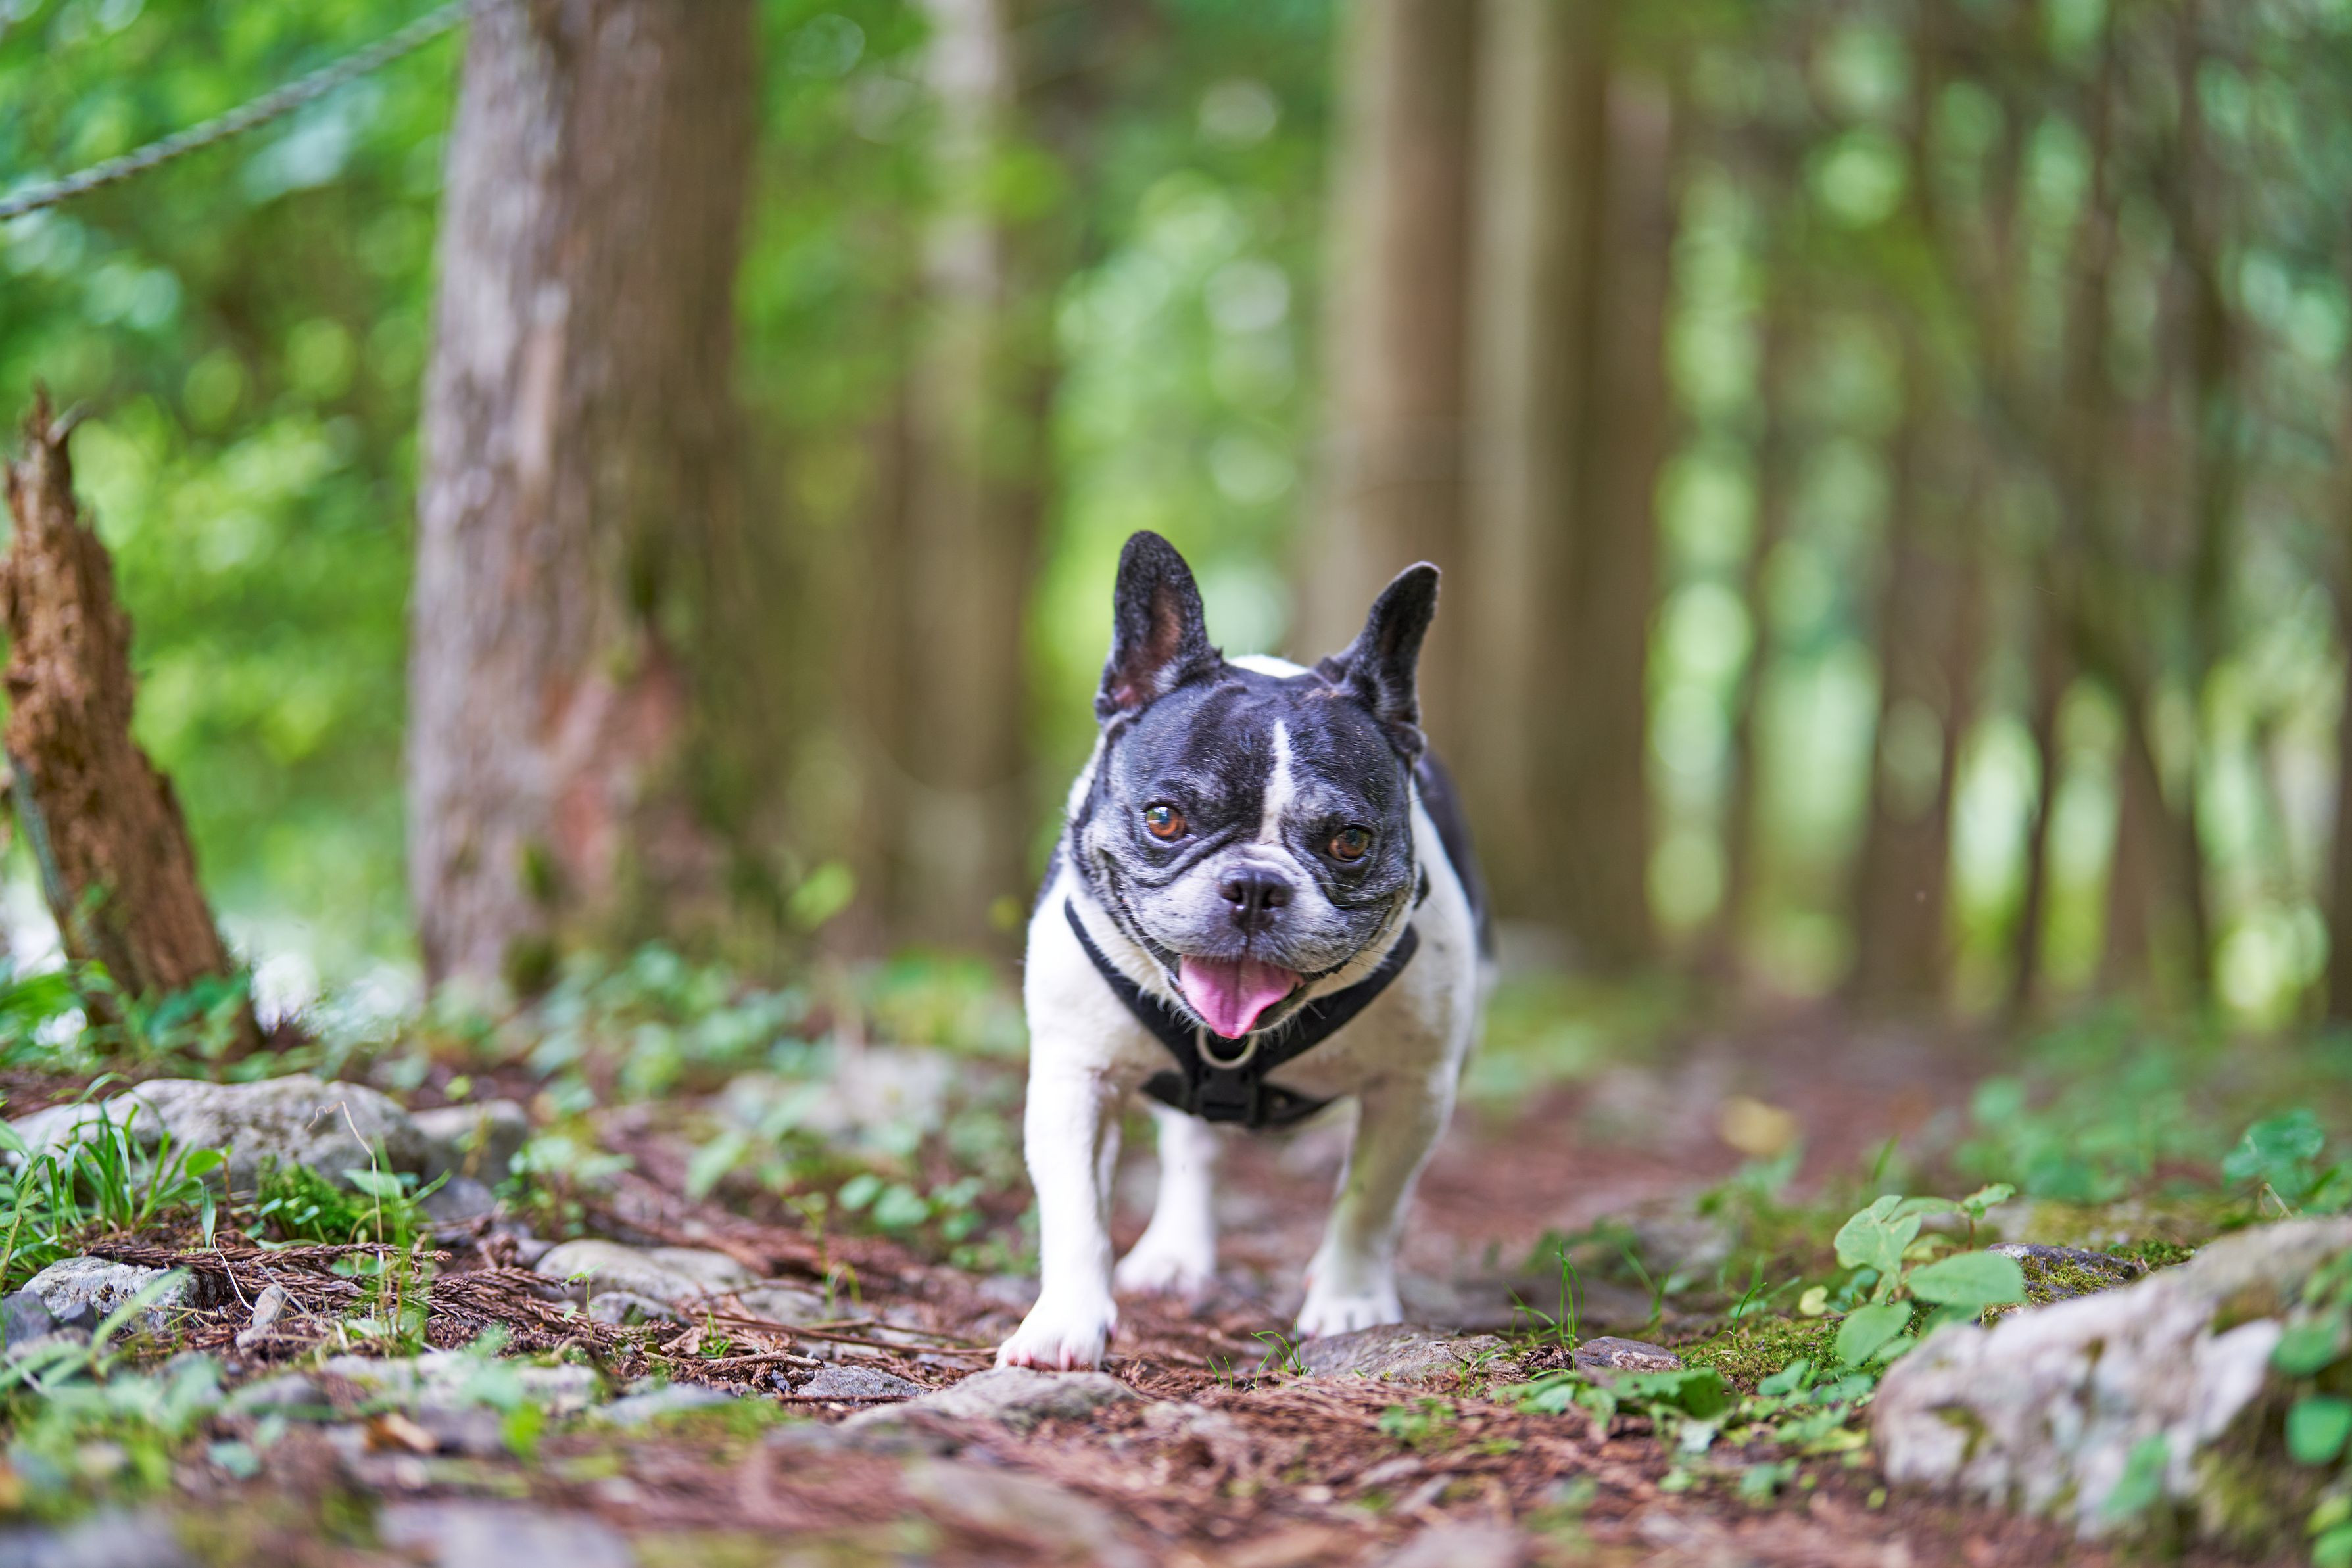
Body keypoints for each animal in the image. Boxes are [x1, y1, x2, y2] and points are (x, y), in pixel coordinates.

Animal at [998, 530, 1489, 1371]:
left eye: (1350, 841)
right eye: (1164, 819)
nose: (1256, 886)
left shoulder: (1413, 1090)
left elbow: (1369, 1202)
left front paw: (1350, 1301)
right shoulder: (1075, 1078)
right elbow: (1074, 1210)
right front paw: (1064, 1321)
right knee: (1192, 1148)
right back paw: (1175, 1255)